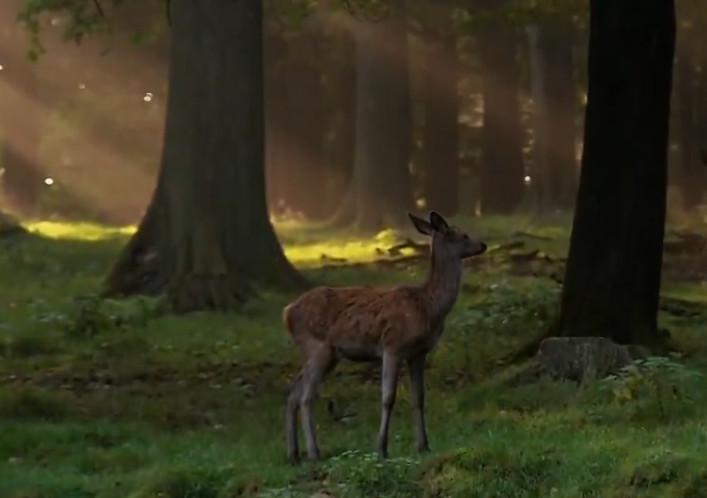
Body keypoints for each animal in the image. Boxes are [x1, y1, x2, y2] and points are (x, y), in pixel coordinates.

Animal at [282, 210, 486, 462]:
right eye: (463, 235)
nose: (483, 244)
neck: (428, 307)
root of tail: (287, 312)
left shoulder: (418, 353)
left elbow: (419, 398)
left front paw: (423, 446)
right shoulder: (392, 346)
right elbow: (388, 398)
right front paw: (382, 448)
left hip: (327, 354)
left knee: (294, 391)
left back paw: (293, 454)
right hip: (318, 346)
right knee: (306, 396)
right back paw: (313, 452)